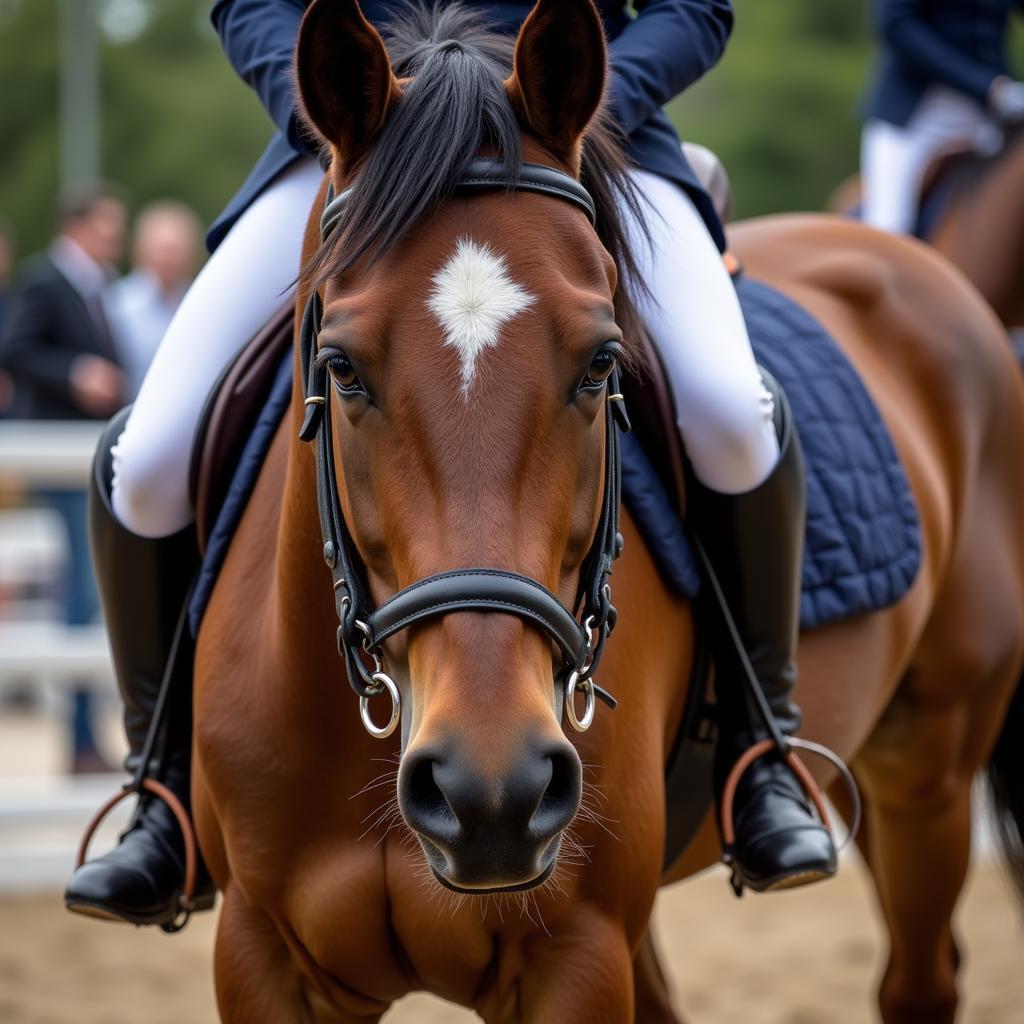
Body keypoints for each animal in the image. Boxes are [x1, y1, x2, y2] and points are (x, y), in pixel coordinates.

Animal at [190, 4, 1024, 1019]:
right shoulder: (259, 954)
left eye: (601, 363)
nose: (492, 792)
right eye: (341, 368)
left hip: (929, 773)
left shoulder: (576, 957)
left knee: (920, 974)